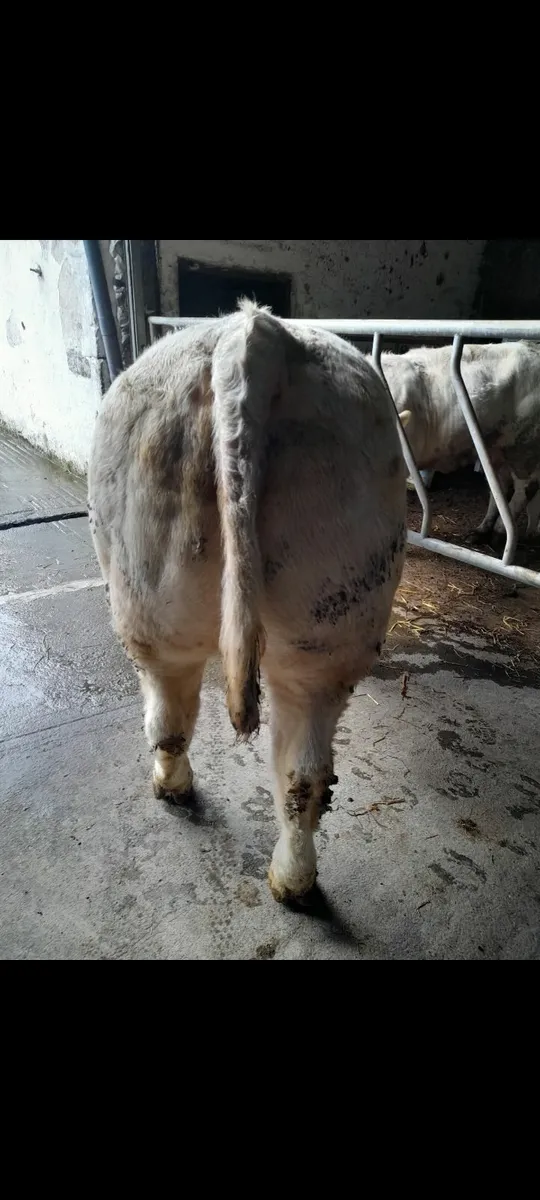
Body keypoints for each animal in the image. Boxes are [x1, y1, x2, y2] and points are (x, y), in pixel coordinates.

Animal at [88, 301, 407, 902]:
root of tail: (254, 330)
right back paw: (293, 880)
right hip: (318, 630)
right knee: (300, 773)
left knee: (172, 715)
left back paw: (175, 790)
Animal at [378, 341, 540, 541]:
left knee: (524, 489)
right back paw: (481, 531)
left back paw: (500, 532)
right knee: (500, 488)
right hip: (494, 448)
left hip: (523, 446)